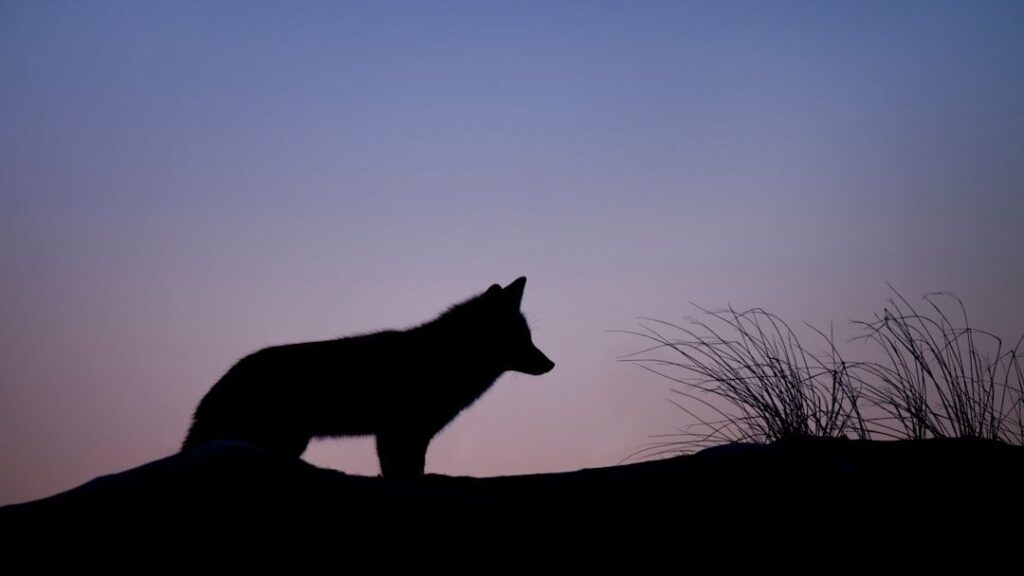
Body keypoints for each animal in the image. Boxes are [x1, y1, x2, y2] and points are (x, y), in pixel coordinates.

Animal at [182, 277, 554, 478]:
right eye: (520, 338)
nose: (551, 364)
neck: (444, 359)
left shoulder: (412, 435)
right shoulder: (398, 433)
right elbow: (402, 474)